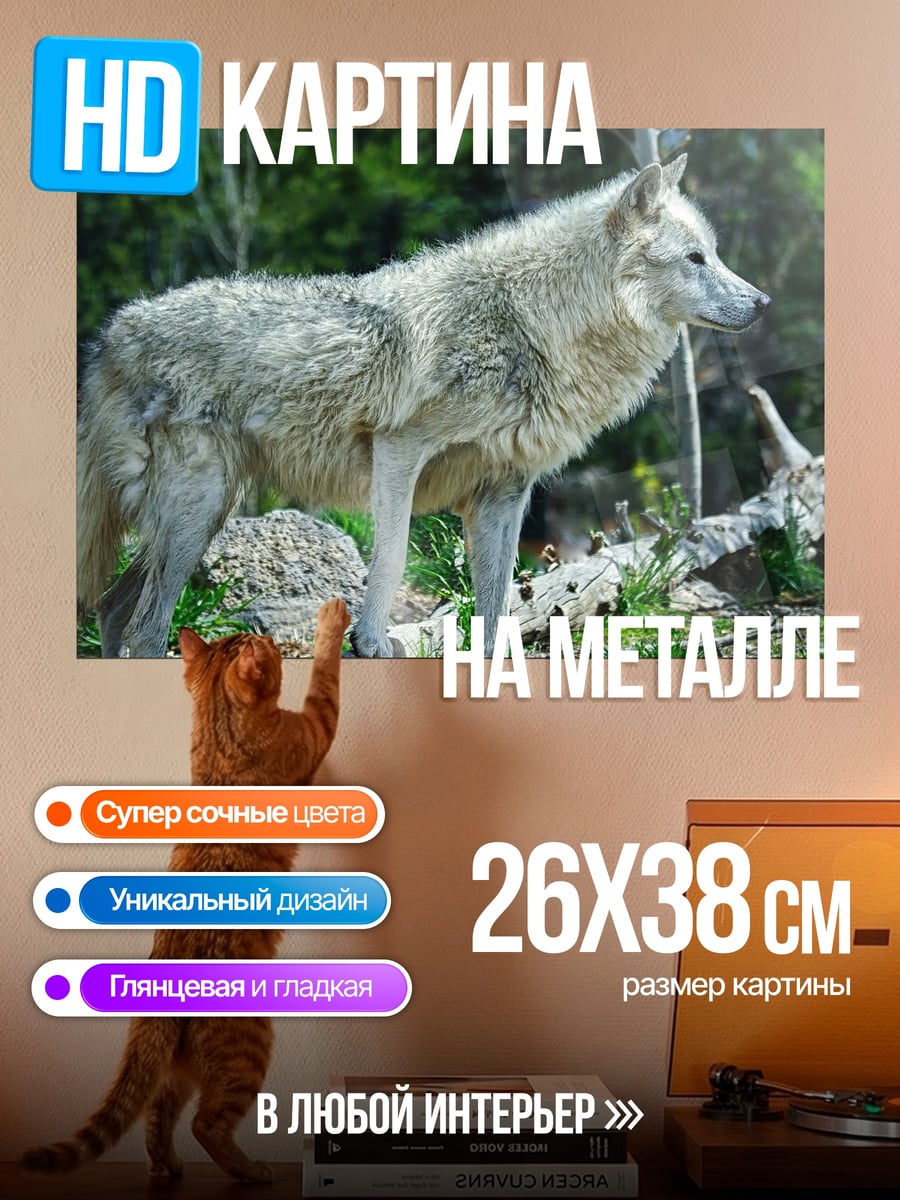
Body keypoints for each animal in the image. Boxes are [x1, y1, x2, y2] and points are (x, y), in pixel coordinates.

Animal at [78, 154, 770, 657]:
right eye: (695, 259)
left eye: (715, 253)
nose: (763, 302)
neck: (533, 322)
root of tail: (114, 330)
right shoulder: (398, 450)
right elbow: (390, 557)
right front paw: (371, 642)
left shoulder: (504, 492)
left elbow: (497, 604)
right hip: (197, 510)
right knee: (144, 628)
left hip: (205, 514)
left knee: (113, 612)